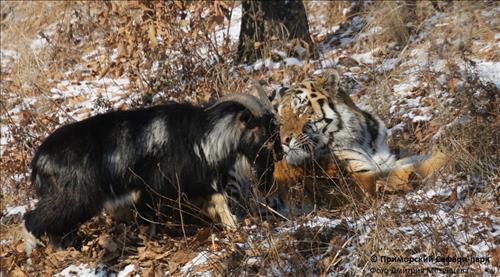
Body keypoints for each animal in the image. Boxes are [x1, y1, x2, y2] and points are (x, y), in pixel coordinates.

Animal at [23, 93, 284, 254]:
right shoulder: (154, 188)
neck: (200, 136)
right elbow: (150, 221)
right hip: (72, 198)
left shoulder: (197, 183)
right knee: (32, 220)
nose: (280, 155)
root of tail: (38, 162)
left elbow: (220, 205)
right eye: (266, 132)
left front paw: (233, 230)